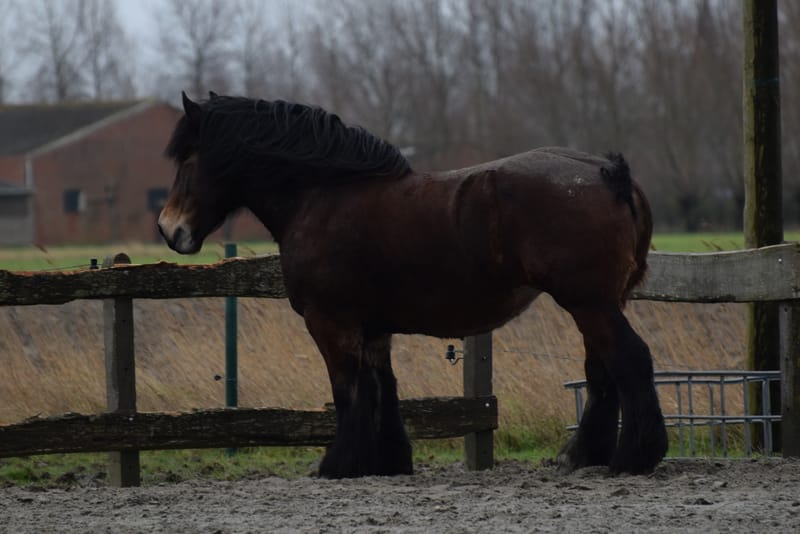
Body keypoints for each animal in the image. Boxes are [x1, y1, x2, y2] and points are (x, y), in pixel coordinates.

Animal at [158, 92, 668, 478]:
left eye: (188, 159)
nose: (169, 229)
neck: (323, 194)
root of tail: (609, 174)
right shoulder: (373, 327)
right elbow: (382, 388)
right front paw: (387, 461)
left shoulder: (330, 322)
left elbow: (348, 390)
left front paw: (339, 464)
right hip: (600, 304)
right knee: (602, 372)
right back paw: (585, 456)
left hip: (589, 303)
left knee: (629, 361)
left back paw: (633, 457)